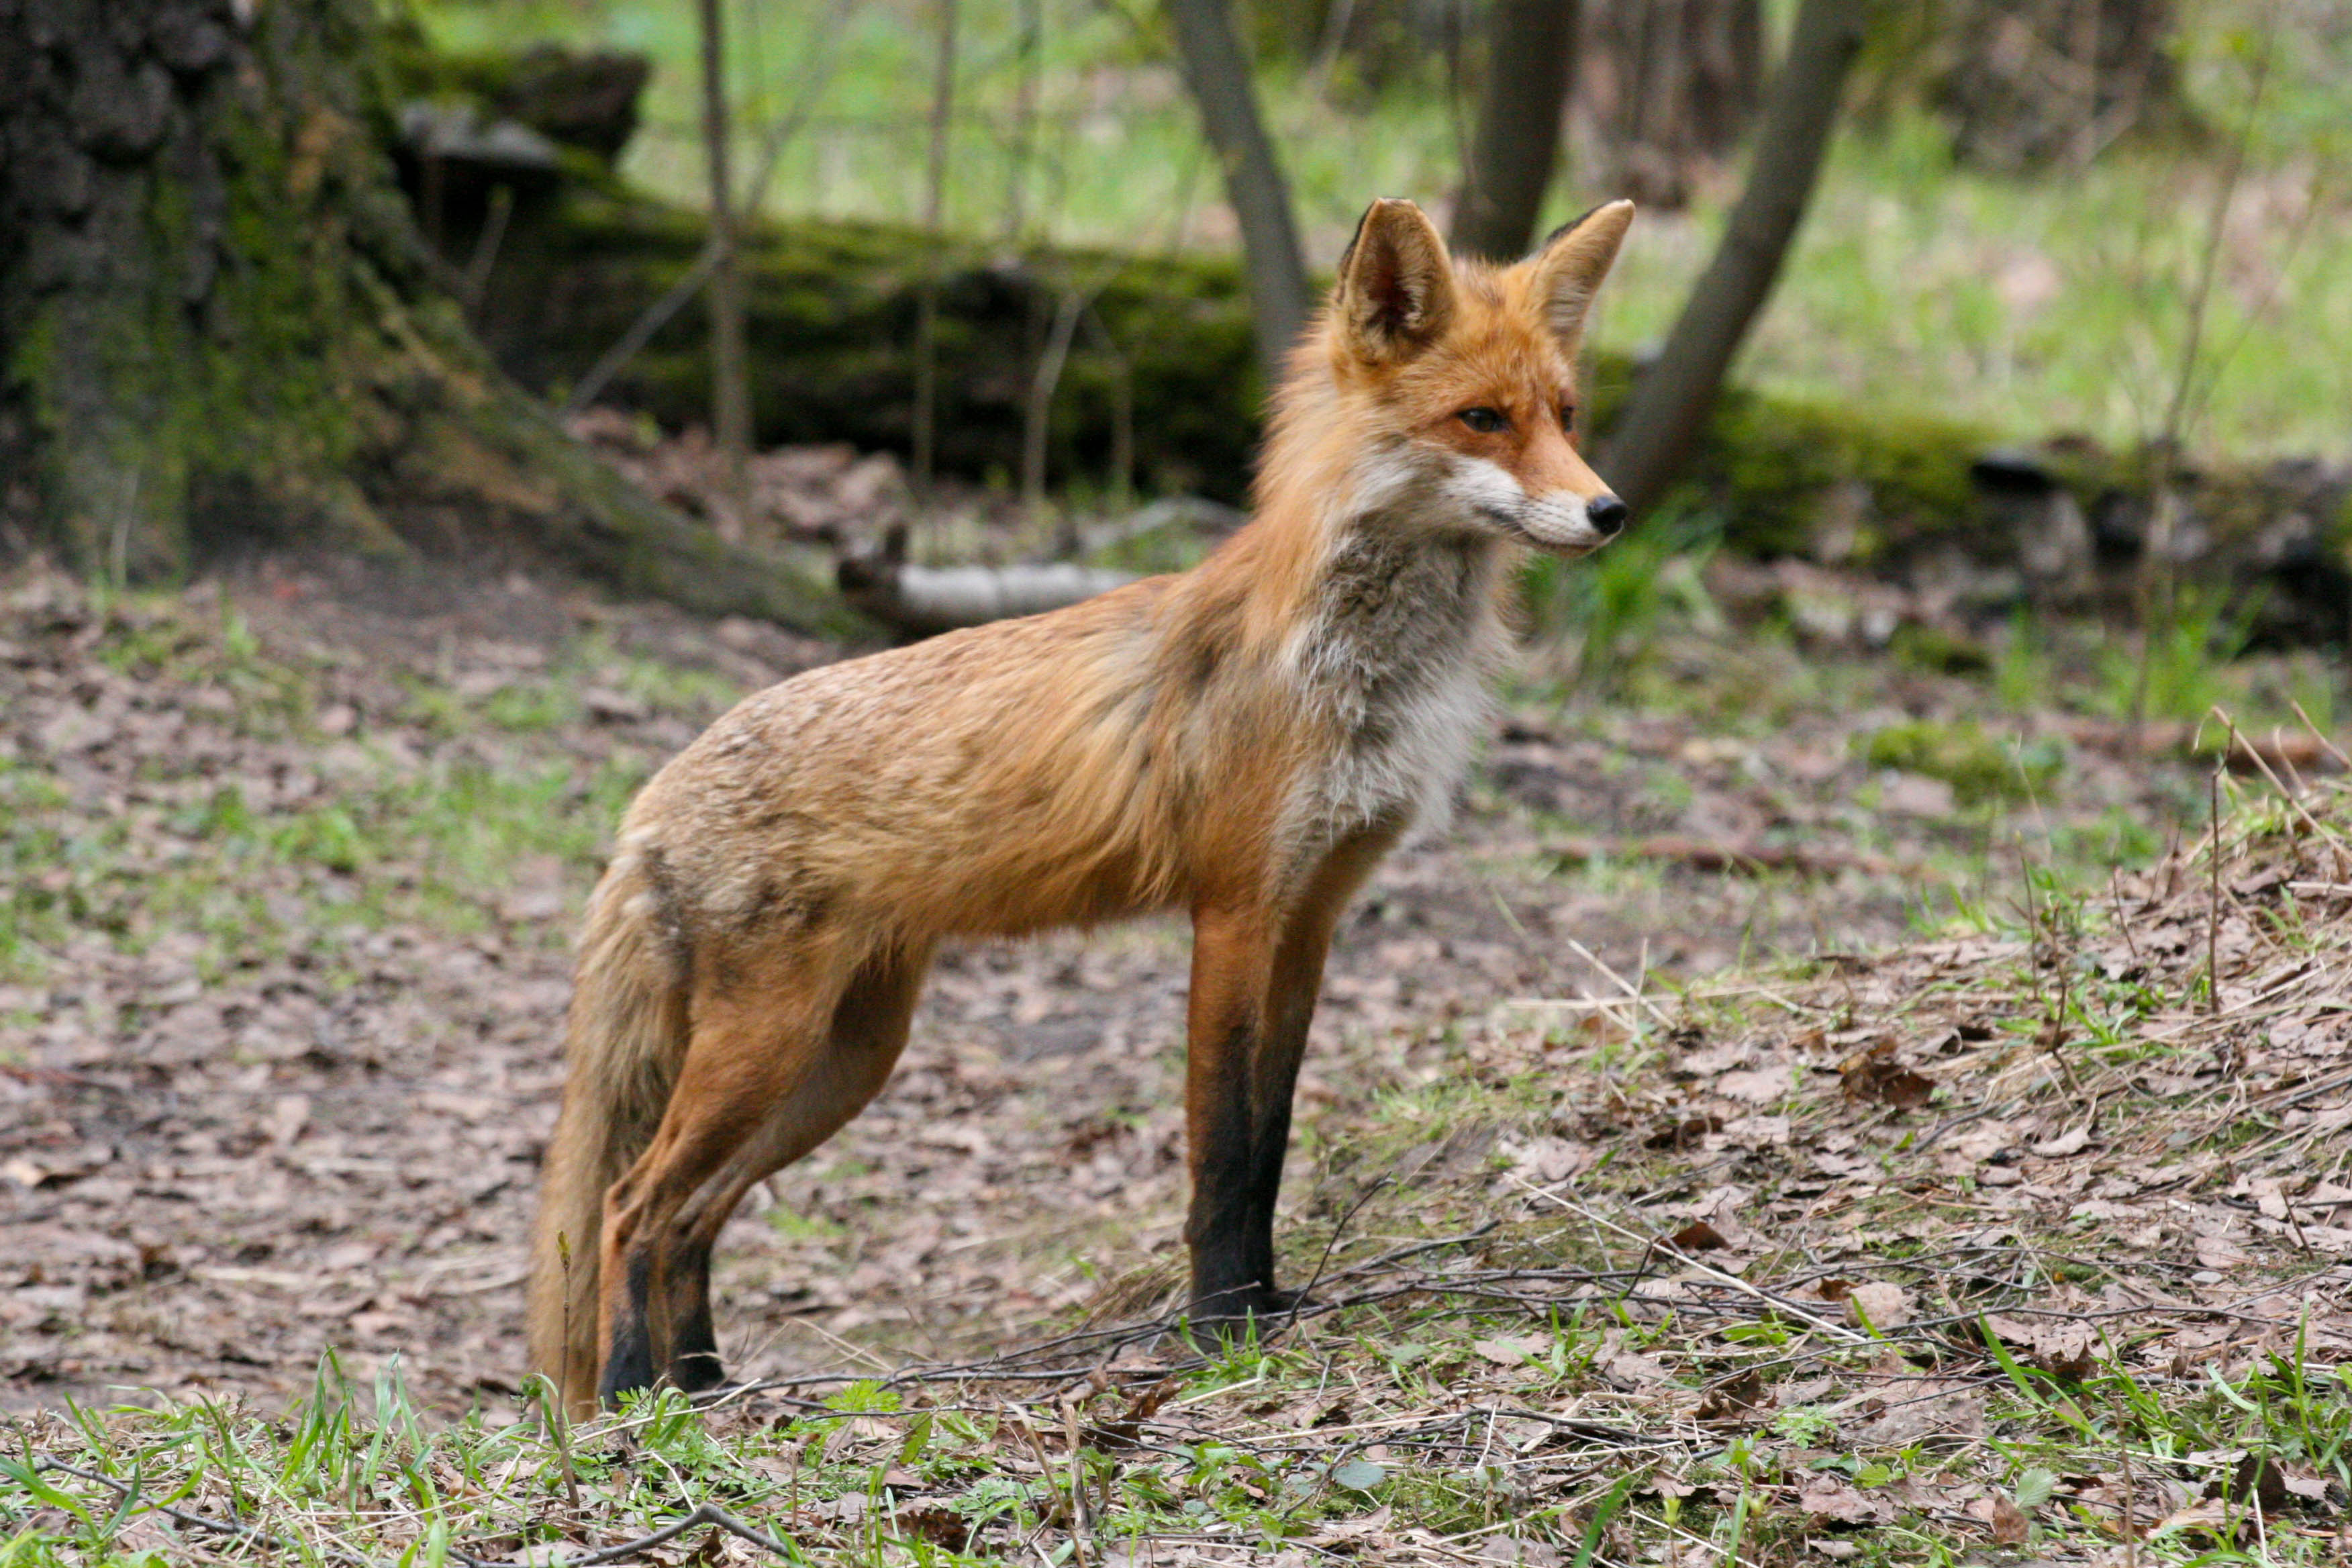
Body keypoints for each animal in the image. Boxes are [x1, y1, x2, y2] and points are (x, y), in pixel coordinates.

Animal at [534, 193, 1636, 1410]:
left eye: (1565, 415)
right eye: (1481, 419)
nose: (1610, 510)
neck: (1355, 673)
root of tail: (649, 798)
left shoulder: (1313, 917)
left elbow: (1274, 1140)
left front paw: (1269, 1308)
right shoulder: (1235, 909)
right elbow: (1223, 1151)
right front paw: (1220, 1331)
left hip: (841, 1060)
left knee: (688, 1220)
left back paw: (707, 1394)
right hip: (768, 1050)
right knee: (631, 1205)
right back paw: (633, 1403)